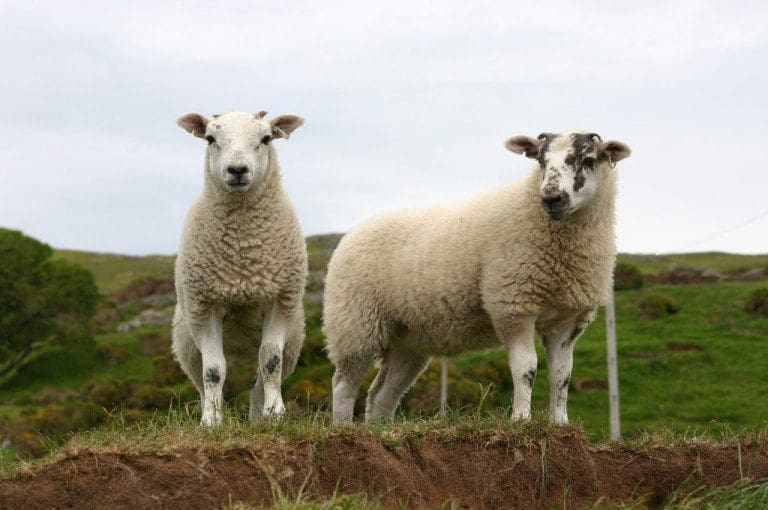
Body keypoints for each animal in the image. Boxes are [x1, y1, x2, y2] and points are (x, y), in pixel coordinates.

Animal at [172, 110, 307, 426]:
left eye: (266, 138)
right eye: (210, 138)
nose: (237, 170)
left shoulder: (280, 302)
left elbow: (270, 362)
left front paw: (274, 414)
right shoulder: (203, 307)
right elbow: (214, 371)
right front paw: (212, 421)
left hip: (292, 341)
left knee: (260, 376)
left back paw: (257, 418)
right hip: (187, 345)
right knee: (203, 380)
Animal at [323, 131, 631, 425]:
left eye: (589, 160)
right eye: (540, 161)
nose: (552, 198)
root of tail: (354, 232)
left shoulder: (567, 320)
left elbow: (561, 375)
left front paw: (560, 424)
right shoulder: (513, 307)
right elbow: (526, 369)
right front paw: (521, 419)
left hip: (409, 339)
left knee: (382, 396)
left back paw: (382, 430)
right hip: (355, 324)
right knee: (343, 386)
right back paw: (343, 427)